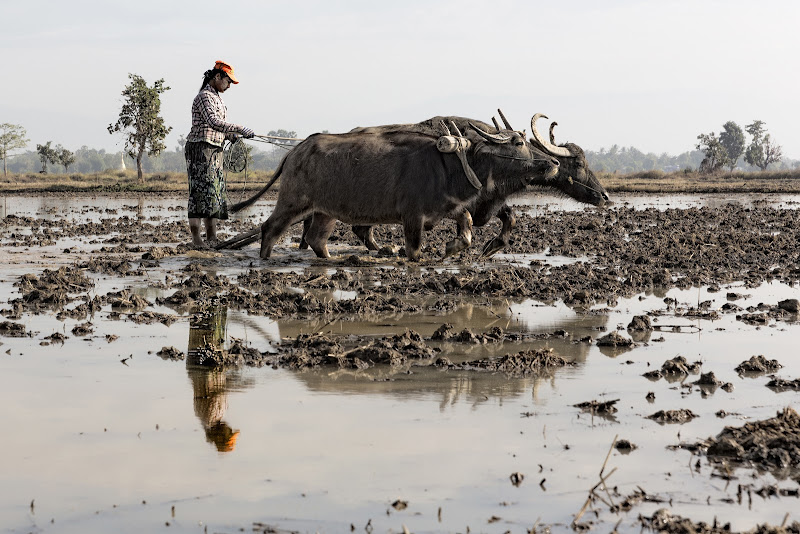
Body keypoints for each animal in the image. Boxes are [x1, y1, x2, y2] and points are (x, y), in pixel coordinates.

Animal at [228, 122, 560, 264]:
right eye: (518, 142)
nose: (553, 163)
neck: (452, 163)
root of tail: (294, 151)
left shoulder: (445, 207)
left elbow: (465, 225)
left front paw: (452, 248)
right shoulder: (412, 216)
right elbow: (414, 249)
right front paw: (415, 256)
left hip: (324, 211)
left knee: (316, 238)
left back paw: (333, 259)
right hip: (293, 201)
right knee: (269, 228)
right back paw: (265, 259)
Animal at [312, 112, 608, 258]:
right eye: (578, 163)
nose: (604, 196)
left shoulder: (489, 202)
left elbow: (509, 218)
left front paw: (491, 247)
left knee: (360, 229)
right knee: (360, 227)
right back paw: (386, 249)